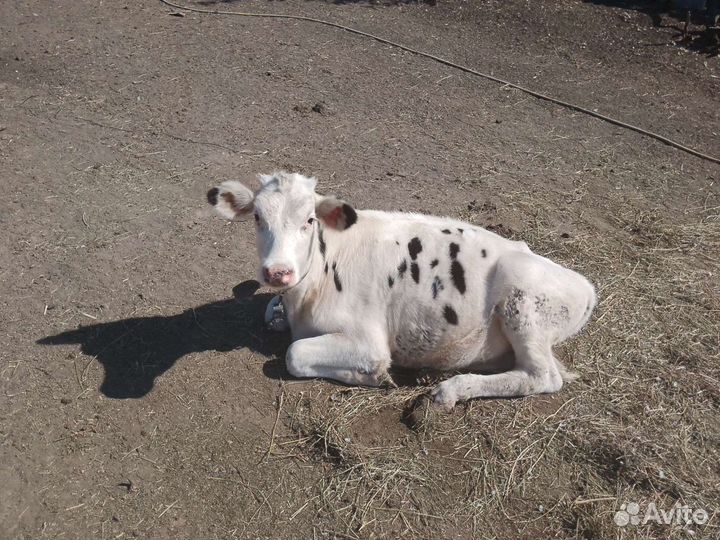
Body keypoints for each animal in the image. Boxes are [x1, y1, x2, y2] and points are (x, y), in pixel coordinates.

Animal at [207, 171, 596, 410]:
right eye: (258, 217)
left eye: (309, 220)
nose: (278, 272)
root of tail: (586, 285)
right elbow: (271, 314)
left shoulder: (368, 340)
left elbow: (295, 354)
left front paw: (375, 376)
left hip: (523, 301)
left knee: (542, 375)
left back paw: (452, 389)